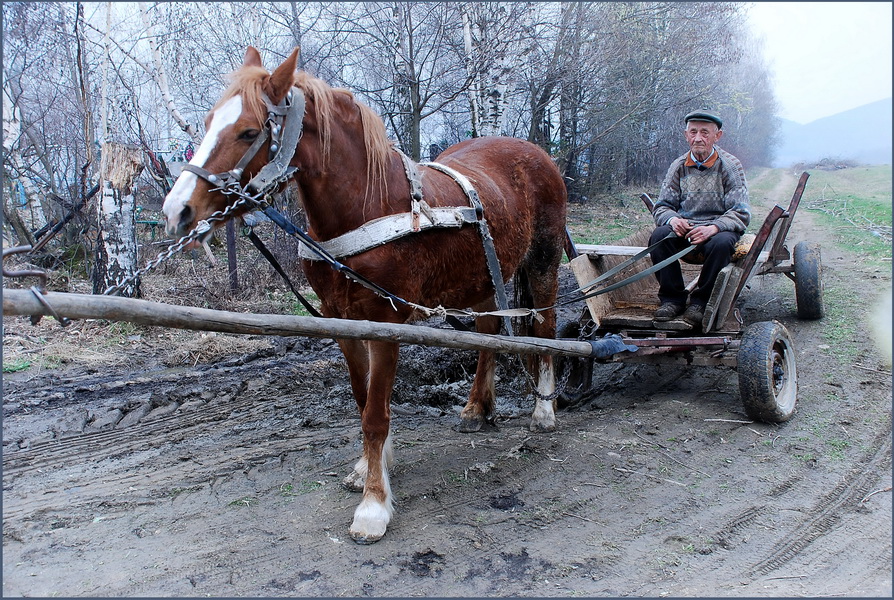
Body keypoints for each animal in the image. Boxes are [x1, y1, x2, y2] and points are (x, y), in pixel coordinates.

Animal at [163, 47, 568, 544]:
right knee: (488, 331)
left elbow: (376, 413)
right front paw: (369, 469)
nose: (177, 211)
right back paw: (477, 407)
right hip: (481, 279)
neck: (367, 204)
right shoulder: (343, 320)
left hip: (543, 263)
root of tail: (537, 154)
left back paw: (544, 410)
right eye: (208, 122)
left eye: (249, 131)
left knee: (545, 327)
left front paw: (373, 506)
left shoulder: (385, 321)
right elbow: (364, 400)